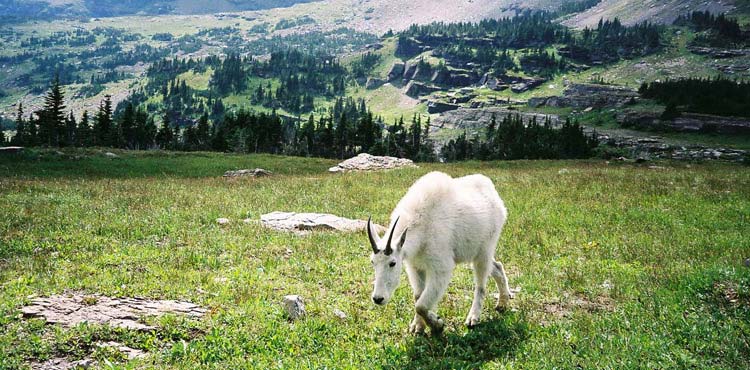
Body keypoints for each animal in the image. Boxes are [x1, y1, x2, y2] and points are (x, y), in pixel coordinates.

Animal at [368, 171, 516, 336]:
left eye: (392, 263)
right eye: (373, 262)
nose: (378, 298)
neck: (421, 222)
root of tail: (496, 196)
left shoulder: (440, 267)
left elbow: (421, 305)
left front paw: (437, 325)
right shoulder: (415, 266)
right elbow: (418, 296)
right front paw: (418, 327)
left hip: (485, 248)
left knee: (481, 284)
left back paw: (473, 318)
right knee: (497, 266)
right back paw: (502, 303)